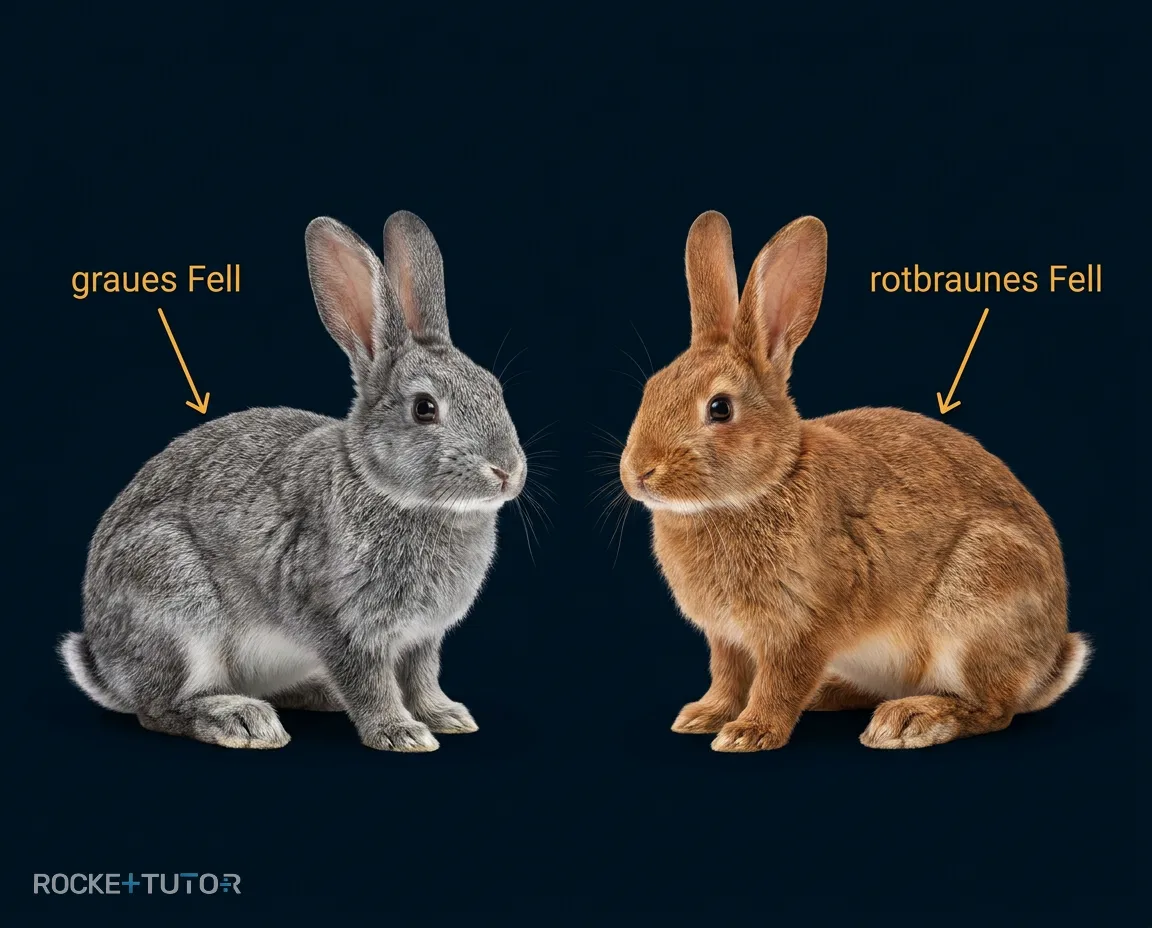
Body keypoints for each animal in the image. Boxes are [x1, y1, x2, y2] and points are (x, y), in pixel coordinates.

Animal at [59, 211, 527, 752]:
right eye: (425, 409)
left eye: (494, 388)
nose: (507, 471)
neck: (390, 491)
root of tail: (105, 668)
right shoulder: (343, 624)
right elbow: (369, 682)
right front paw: (401, 733)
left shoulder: (421, 639)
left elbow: (421, 676)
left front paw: (444, 716)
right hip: (176, 607)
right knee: (160, 709)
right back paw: (241, 720)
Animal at [619, 210, 1089, 751]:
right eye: (652, 388)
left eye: (719, 409)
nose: (638, 473)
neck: (766, 484)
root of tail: (1047, 664)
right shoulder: (727, 637)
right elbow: (728, 675)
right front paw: (704, 716)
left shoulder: (802, 626)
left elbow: (780, 681)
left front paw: (749, 733)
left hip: (977, 607)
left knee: (994, 709)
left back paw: (911, 721)